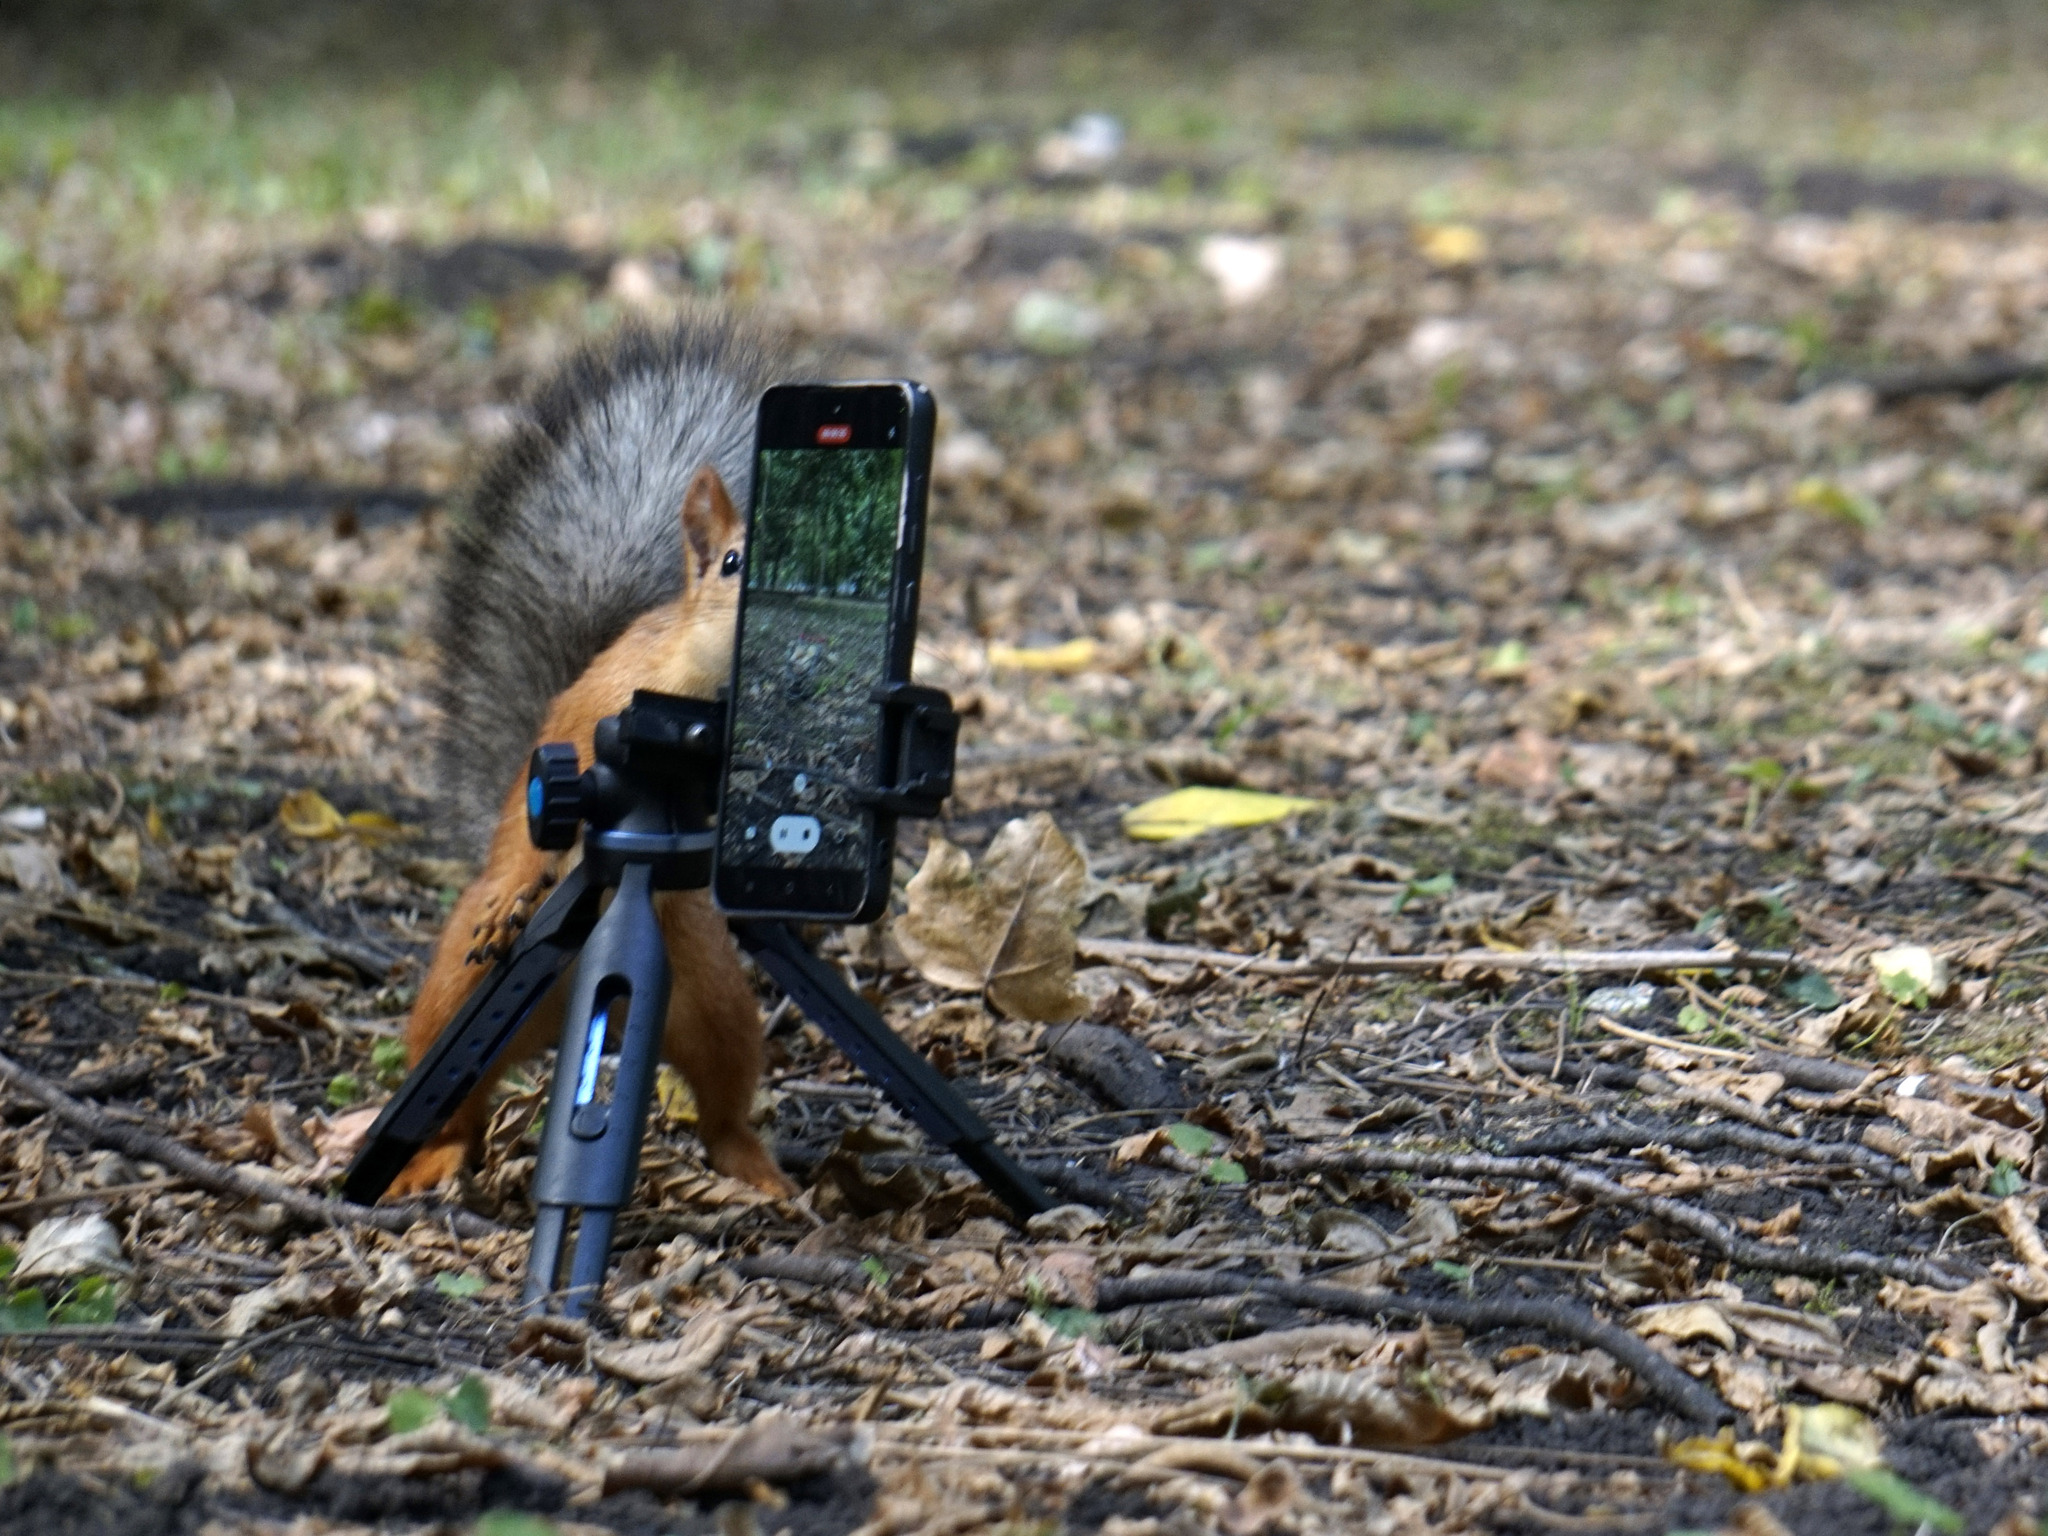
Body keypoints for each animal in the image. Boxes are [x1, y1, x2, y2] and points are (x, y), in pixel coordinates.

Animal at [380, 313, 794, 1204]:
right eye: (732, 565)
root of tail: (565, 1018)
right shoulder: (599, 713)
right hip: (457, 997)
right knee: (451, 1102)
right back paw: (429, 1160)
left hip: (715, 1003)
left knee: (724, 1103)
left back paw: (753, 1165)